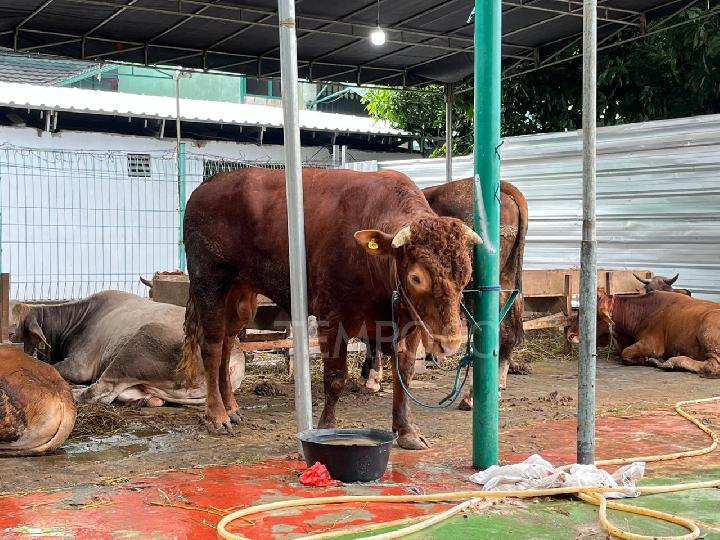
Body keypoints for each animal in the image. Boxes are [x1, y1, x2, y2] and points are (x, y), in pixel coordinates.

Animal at [9, 292, 246, 404]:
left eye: (12, 332)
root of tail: (236, 354)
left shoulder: (79, 365)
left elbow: (54, 368)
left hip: (138, 346)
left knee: (99, 392)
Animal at [179, 167, 478, 450]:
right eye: (416, 278)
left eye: (466, 275)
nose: (449, 342)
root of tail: (206, 187)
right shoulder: (333, 319)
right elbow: (335, 378)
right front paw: (326, 429)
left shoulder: (412, 322)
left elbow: (404, 373)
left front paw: (407, 431)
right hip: (210, 282)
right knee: (212, 346)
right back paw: (217, 415)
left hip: (241, 296)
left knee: (228, 343)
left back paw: (231, 407)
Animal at [360, 177, 528, 410]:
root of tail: (504, 186)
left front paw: (372, 378)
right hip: (507, 280)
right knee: (508, 331)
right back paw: (498, 387)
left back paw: (471, 396)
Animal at [568, 288, 720, 378]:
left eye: (594, 315)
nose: (570, 335)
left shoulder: (652, 345)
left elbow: (625, 354)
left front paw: (650, 360)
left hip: (707, 332)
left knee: (712, 366)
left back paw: (673, 361)